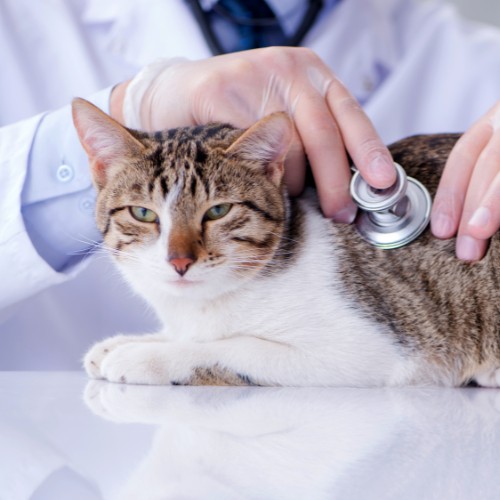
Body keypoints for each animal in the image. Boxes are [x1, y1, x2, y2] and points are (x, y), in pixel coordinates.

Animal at [72, 96, 498, 386]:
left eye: (218, 211)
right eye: (143, 214)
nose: (179, 261)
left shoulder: (370, 351)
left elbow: (231, 348)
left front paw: (146, 356)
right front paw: (132, 342)